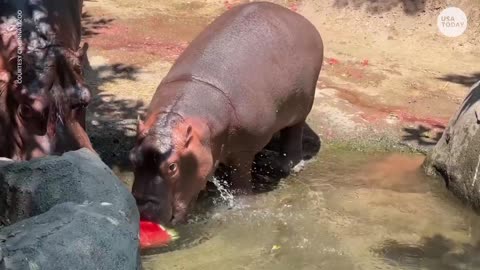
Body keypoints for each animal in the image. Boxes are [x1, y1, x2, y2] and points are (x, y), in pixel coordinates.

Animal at [131, 2, 324, 225]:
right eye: (132, 157)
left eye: (172, 167)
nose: (143, 212)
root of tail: (300, 20)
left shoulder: (244, 151)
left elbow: (240, 183)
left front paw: (241, 205)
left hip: (302, 106)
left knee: (293, 134)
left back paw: (287, 165)